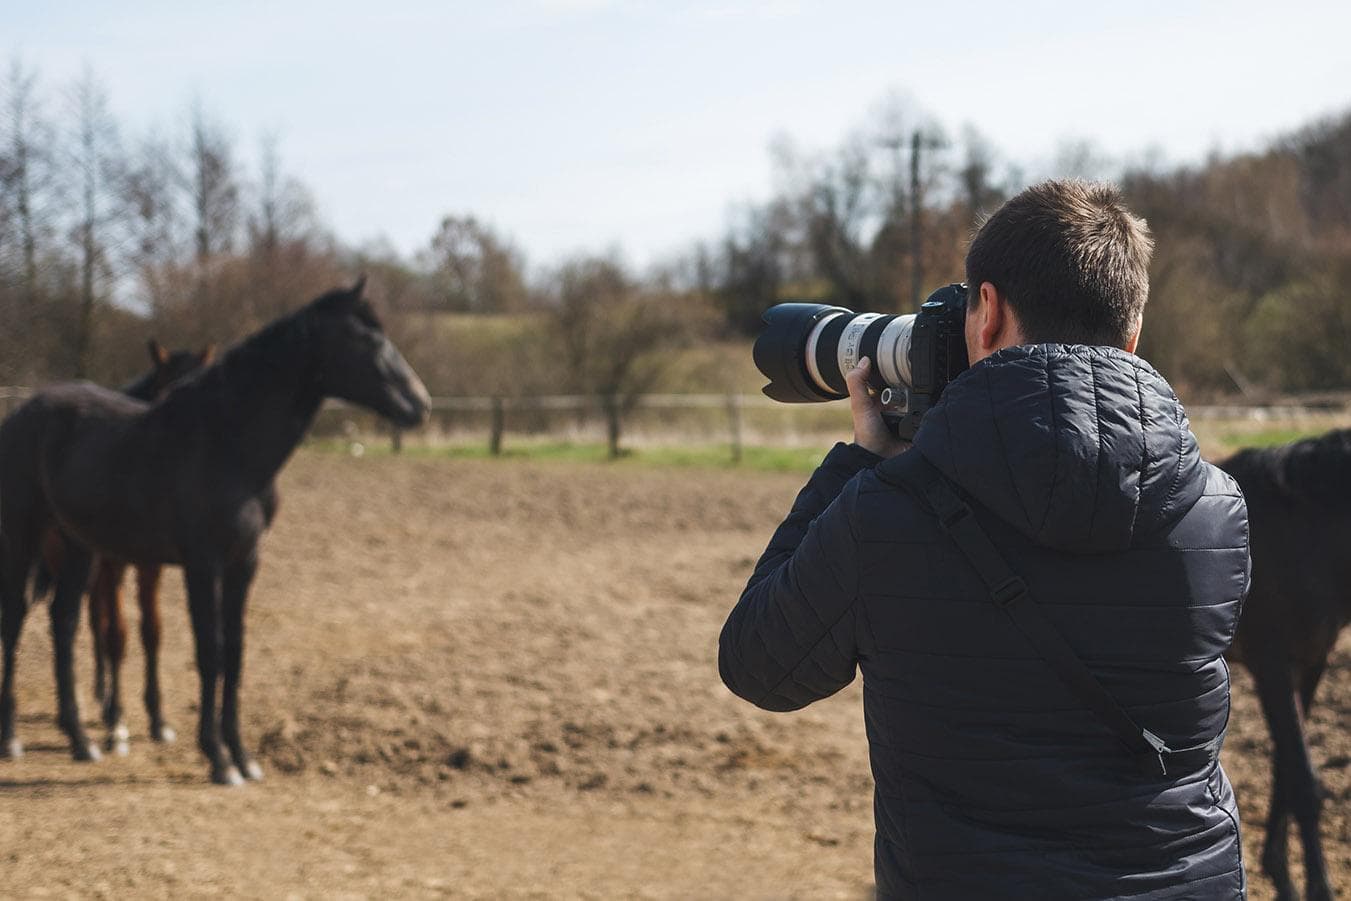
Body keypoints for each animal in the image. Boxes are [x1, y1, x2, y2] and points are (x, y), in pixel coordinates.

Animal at [0, 278, 426, 783]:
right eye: (368, 339)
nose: (420, 403)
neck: (228, 446)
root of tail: (24, 411)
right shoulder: (202, 563)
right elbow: (210, 650)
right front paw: (218, 760)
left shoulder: (245, 562)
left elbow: (234, 652)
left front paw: (243, 757)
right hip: (25, 536)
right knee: (16, 618)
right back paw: (13, 738)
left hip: (79, 547)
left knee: (63, 622)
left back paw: (82, 741)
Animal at [1215, 432, 1351, 901]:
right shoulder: (1271, 664)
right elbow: (1303, 781)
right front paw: (1319, 888)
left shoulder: (1310, 663)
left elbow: (1284, 768)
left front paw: (1279, 872)